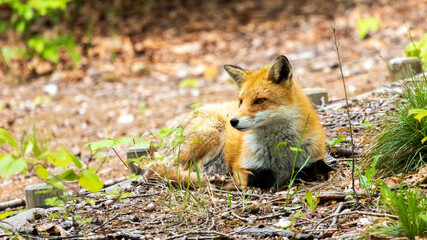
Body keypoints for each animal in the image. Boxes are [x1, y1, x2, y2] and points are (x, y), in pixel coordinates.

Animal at [149, 55, 332, 188]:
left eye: (259, 100)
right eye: (241, 101)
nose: (233, 121)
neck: (280, 152)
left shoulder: (313, 158)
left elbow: (323, 169)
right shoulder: (241, 166)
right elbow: (252, 179)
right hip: (210, 136)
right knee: (159, 168)